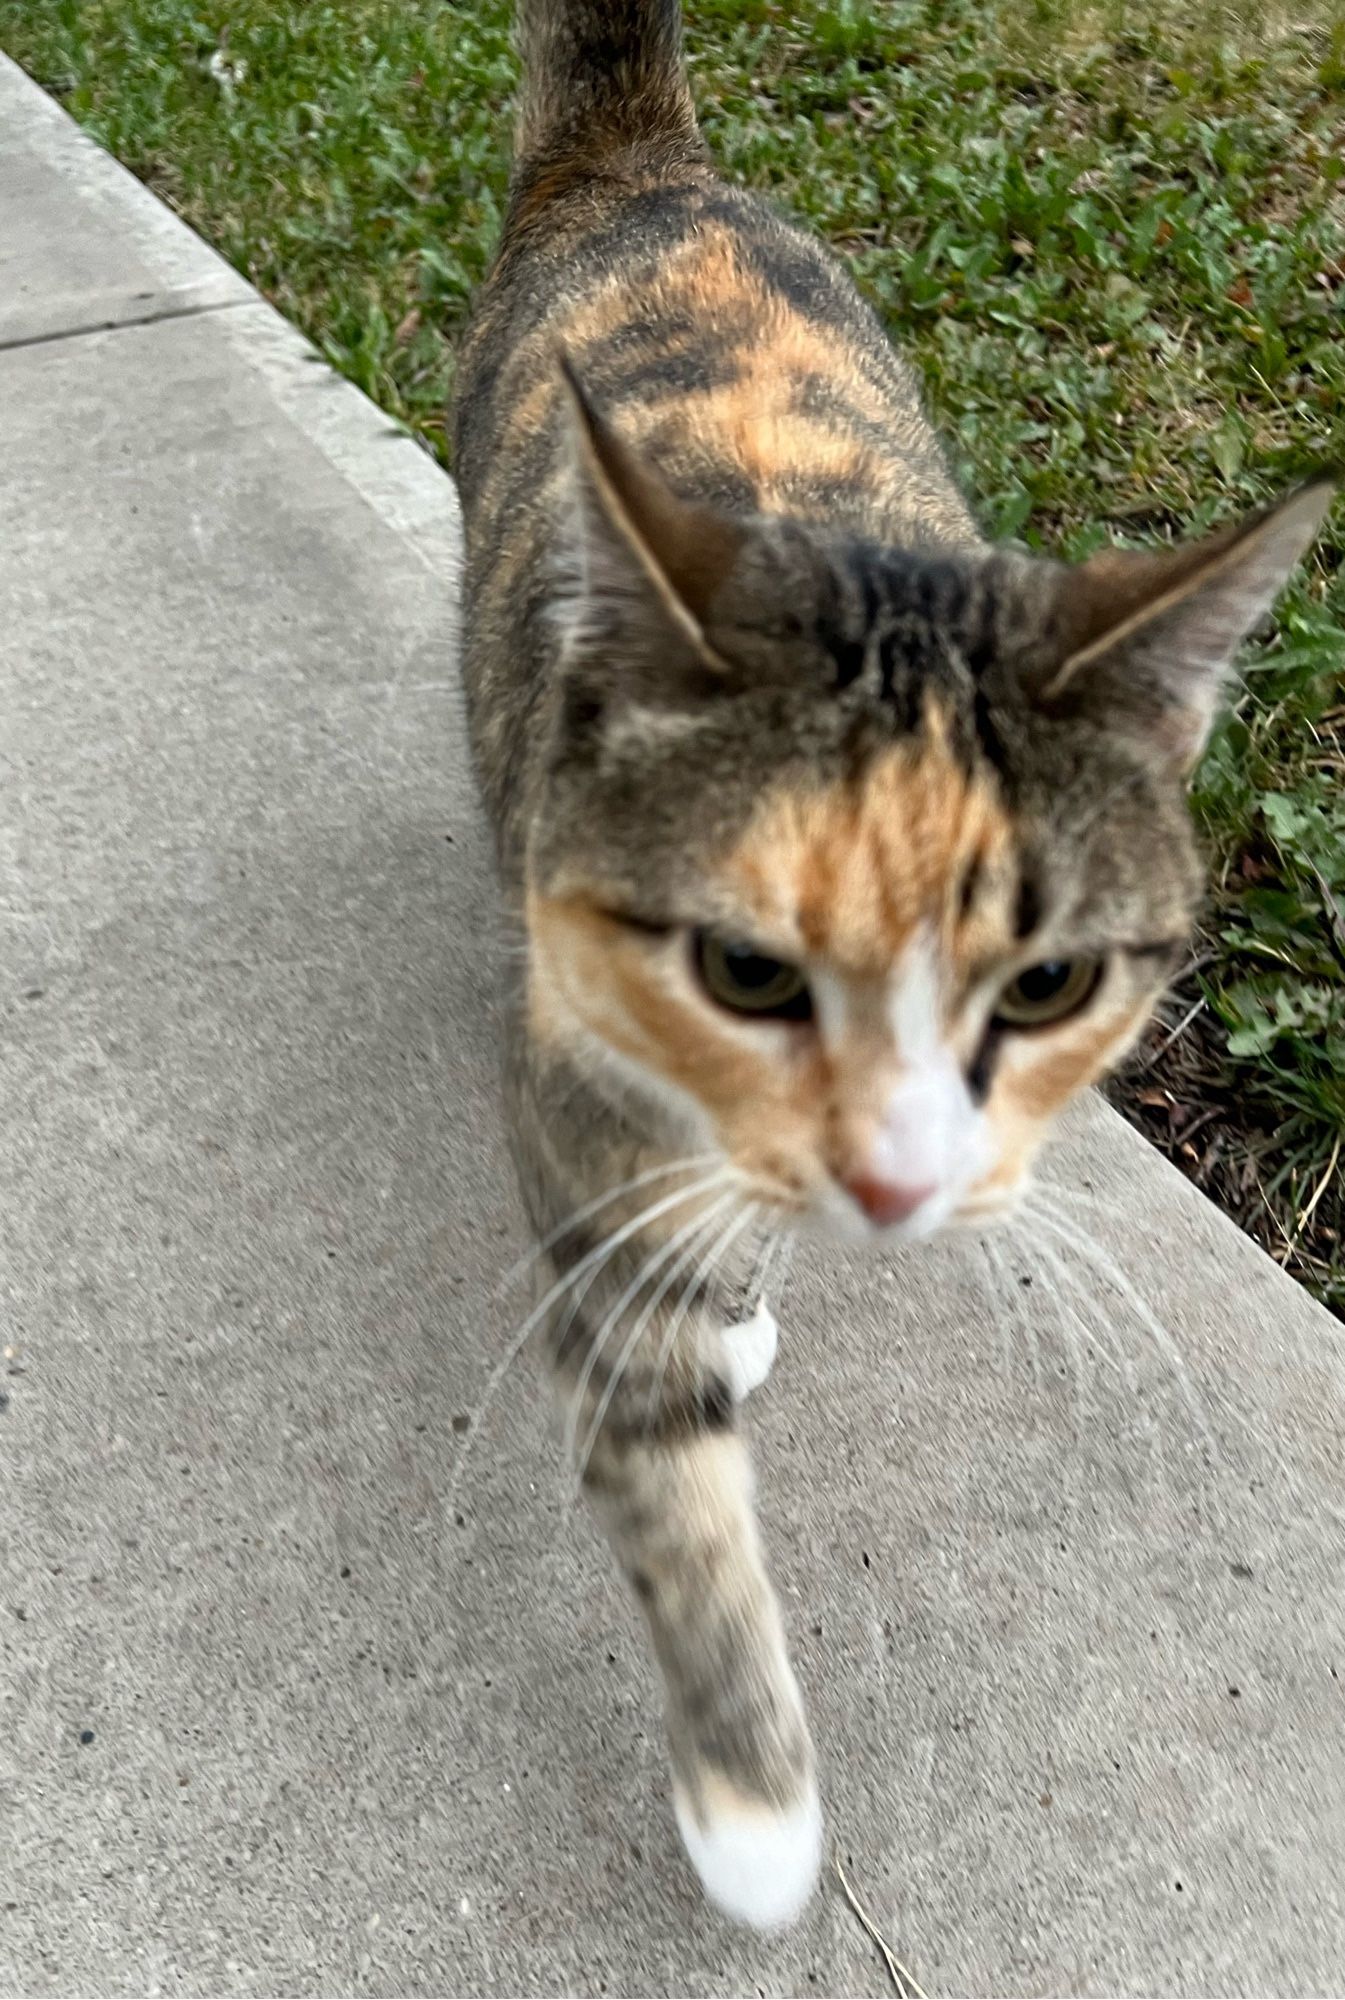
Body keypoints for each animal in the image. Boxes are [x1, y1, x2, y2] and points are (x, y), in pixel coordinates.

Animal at [454, 0, 1336, 1928]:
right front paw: (756, 1809)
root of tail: (640, 160)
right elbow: (673, 1484)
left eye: (1049, 986)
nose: (899, 1184)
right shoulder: (578, 1112)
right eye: (746, 970)